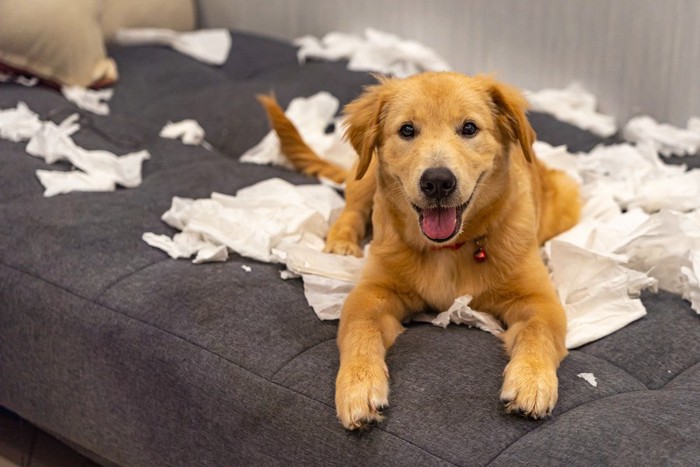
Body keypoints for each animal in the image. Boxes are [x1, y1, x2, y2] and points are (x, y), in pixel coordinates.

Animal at [258, 71, 580, 430]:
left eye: (469, 128)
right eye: (407, 130)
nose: (438, 182)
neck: (448, 250)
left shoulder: (539, 299)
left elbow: (539, 332)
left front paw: (531, 381)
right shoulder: (371, 293)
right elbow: (360, 329)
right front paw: (359, 386)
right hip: (365, 173)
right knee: (351, 208)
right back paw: (341, 243)